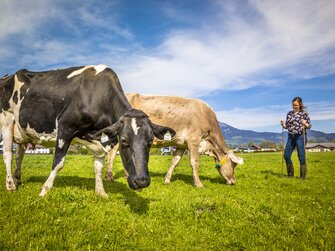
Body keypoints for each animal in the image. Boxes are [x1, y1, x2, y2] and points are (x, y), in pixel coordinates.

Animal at [0, 65, 177, 197]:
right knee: (8, 153)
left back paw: (18, 179)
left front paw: (101, 192)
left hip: (22, 131)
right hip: (7, 119)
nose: (141, 181)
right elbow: (58, 162)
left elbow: (98, 166)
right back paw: (10, 184)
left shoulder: (100, 140)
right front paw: (45, 190)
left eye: (150, 141)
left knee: (19, 155)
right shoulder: (65, 126)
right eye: (124, 140)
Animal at [106, 93, 243, 187]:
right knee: (111, 155)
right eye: (234, 164)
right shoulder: (194, 139)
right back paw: (110, 177)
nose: (233, 181)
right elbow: (195, 162)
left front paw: (167, 179)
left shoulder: (182, 144)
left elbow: (175, 162)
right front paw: (199, 184)